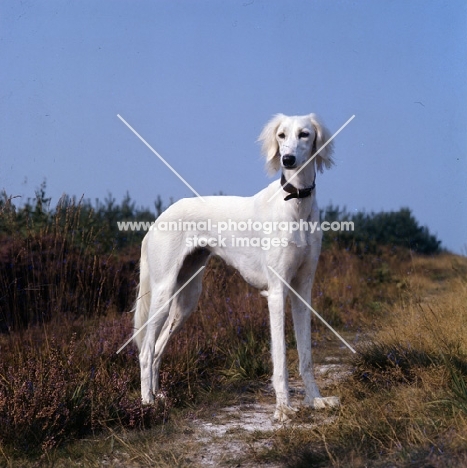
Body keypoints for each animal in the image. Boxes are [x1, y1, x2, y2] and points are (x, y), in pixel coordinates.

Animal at [135, 112, 340, 420]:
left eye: (304, 134)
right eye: (281, 135)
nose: (288, 159)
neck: (295, 203)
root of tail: (159, 218)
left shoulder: (303, 289)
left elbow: (306, 356)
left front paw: (315, 400)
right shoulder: (276, 292)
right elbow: (280, 356)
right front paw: (283, 407)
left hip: (187, 296)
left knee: (158, 348)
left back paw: (159, 397)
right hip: (163, 290)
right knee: (146, 351)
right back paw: (147, 404)